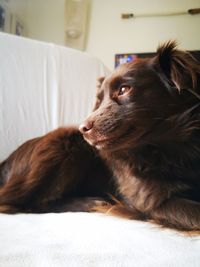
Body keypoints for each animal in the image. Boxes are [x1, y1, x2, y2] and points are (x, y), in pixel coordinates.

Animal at [0, 40, 200, 232]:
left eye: (124, 89)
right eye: (99, 101)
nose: (83, 128)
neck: (168, 150)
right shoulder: (152, 202)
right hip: (65, 142)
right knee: (31, 203)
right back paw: (89, 202)